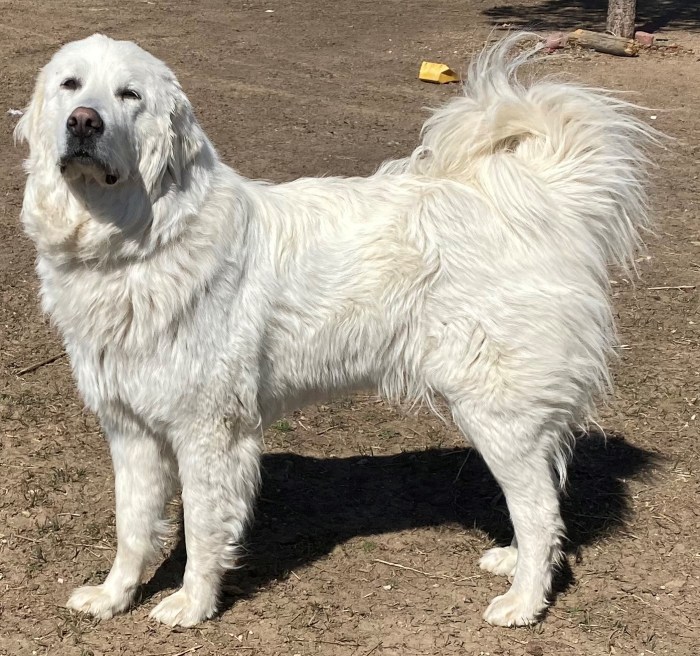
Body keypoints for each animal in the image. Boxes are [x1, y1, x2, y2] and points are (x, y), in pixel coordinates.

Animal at [15, 33, 656, 628]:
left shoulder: (206, 432)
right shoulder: (130, 430)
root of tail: (540, 194)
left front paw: (192, 605)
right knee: (541, 500)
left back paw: (524, 601)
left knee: (540, 509)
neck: (134, 242)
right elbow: (132, 527)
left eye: (130, 95)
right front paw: (113, 597)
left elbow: (199, 530)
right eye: (72, 85)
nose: (84, 122)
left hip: (495, 412)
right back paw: (515, 563)